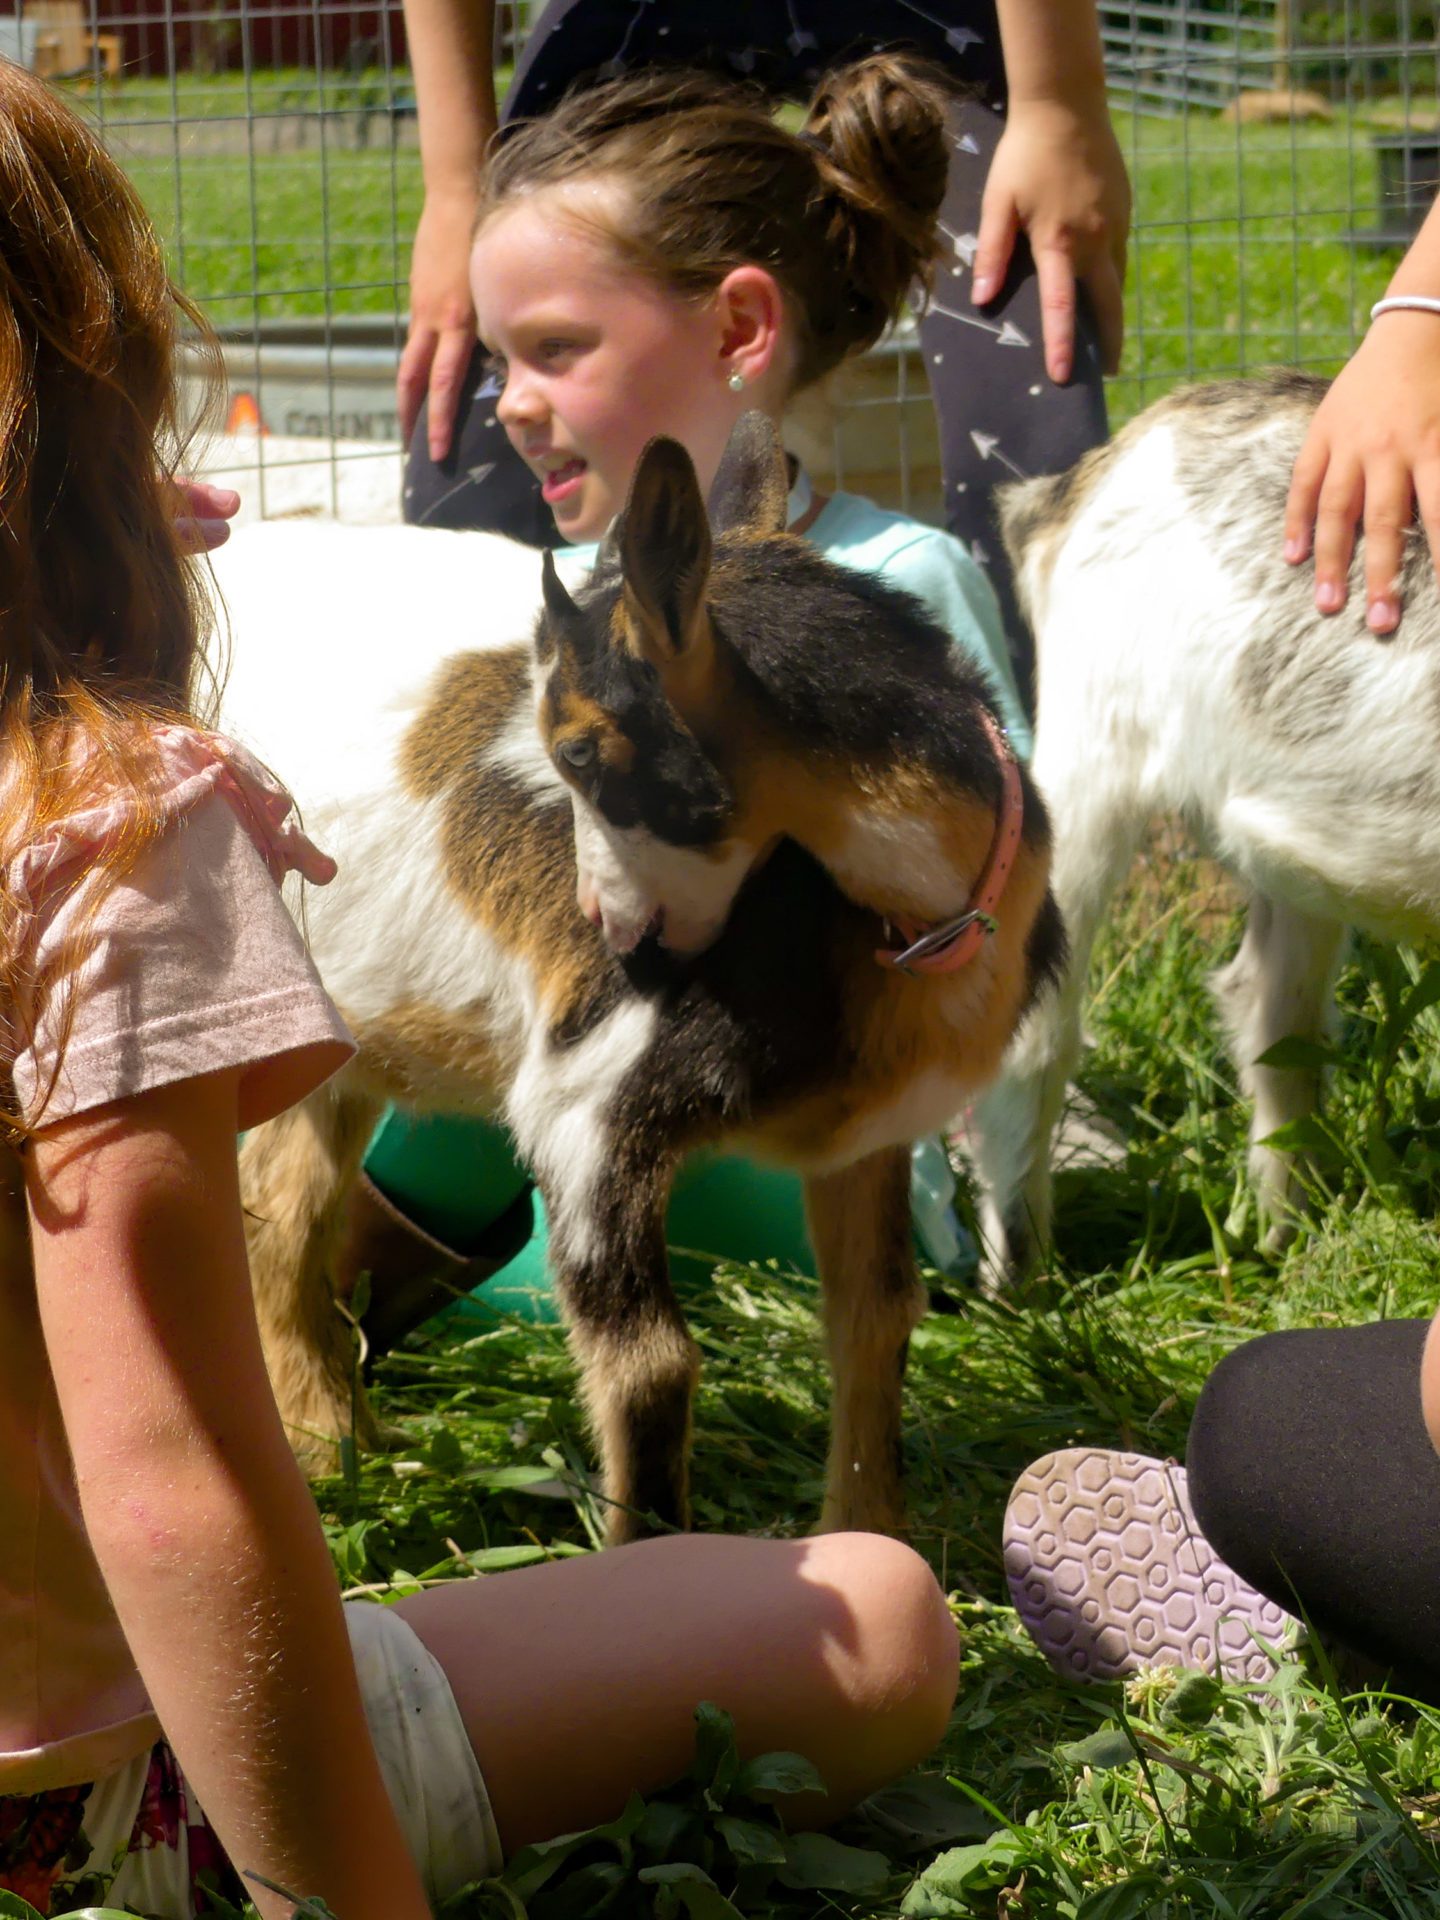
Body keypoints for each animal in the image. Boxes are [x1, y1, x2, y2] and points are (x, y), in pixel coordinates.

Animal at [217, 415, 1062, 1543]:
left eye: (577, 748)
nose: (610, 929)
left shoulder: (869, 1131)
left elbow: (877, 1312)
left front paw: (868, 1540)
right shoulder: (588, 1108)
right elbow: (653, 1365)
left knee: (280, 1213)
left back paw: (339, 1451)